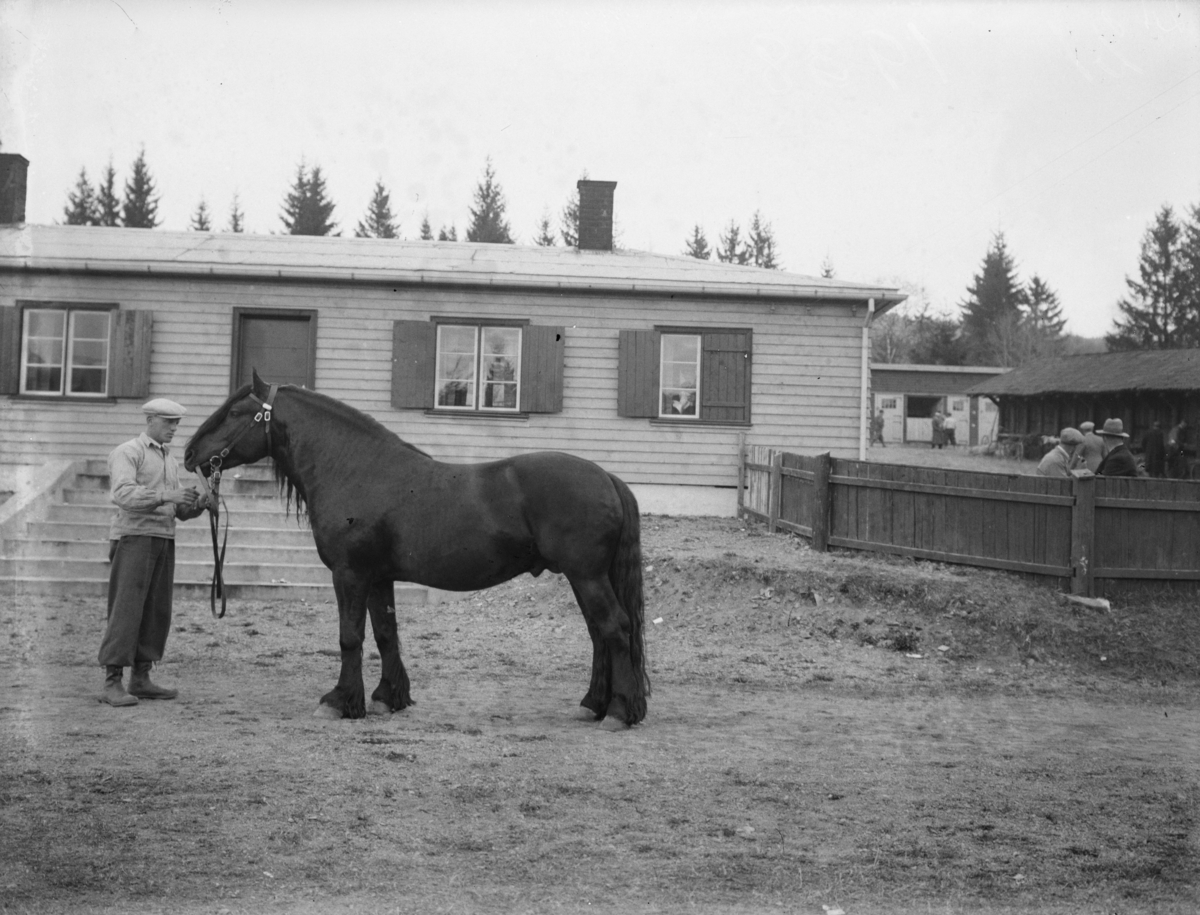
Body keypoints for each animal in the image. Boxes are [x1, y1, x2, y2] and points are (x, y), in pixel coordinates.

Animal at [186, 374, 652, 725]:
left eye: (234, 412)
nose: (190, 453)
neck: (356, 469)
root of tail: (606, 477)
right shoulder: (378, 577)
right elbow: (385, 633)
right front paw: (386, 697)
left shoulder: (350, 573)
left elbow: (350, 636)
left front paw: (339, 701)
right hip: (584, 577)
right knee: (599, 634)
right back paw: (594, 704)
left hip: (586, 575)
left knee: (615, 629)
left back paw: (618, 711)